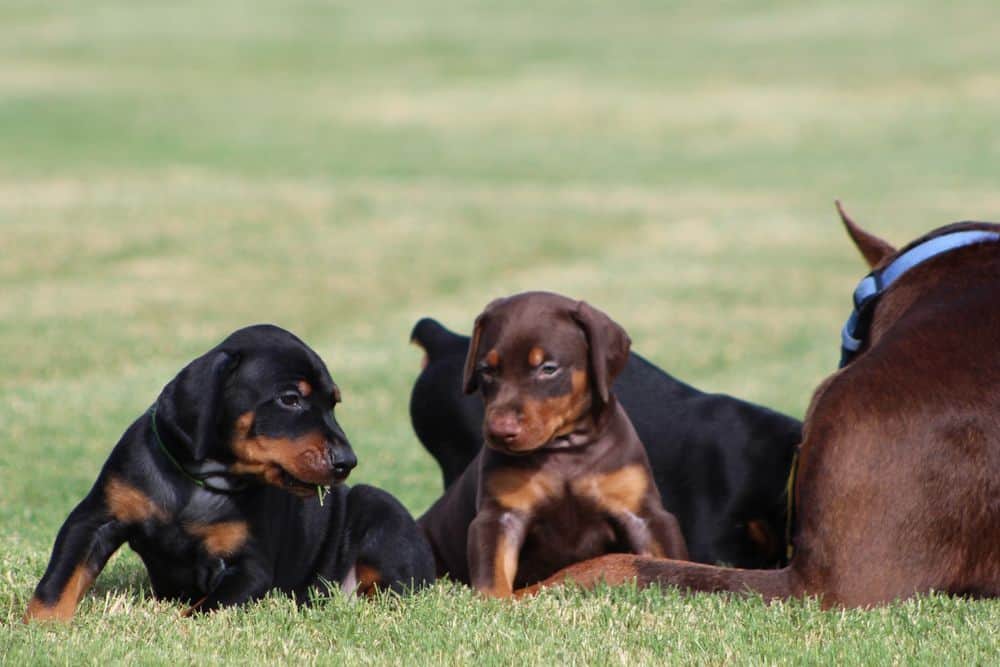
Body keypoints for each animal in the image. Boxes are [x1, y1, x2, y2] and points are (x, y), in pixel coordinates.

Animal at [25, 326, 434, 624]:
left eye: (333, 403)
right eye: (290, 399)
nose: (347, 462)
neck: (200, 481)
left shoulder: (249, 568)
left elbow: (203, 610)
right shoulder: (94, 519)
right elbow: (59, 580)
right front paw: (41, 629)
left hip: (380, 510)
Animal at [416, 290, 688, 596]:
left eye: (548, 368)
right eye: (486, 369)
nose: (500, 431)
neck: (564, 450)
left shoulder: (644, 514)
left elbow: (668, 556)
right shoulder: (500, 515)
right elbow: (492, 576)